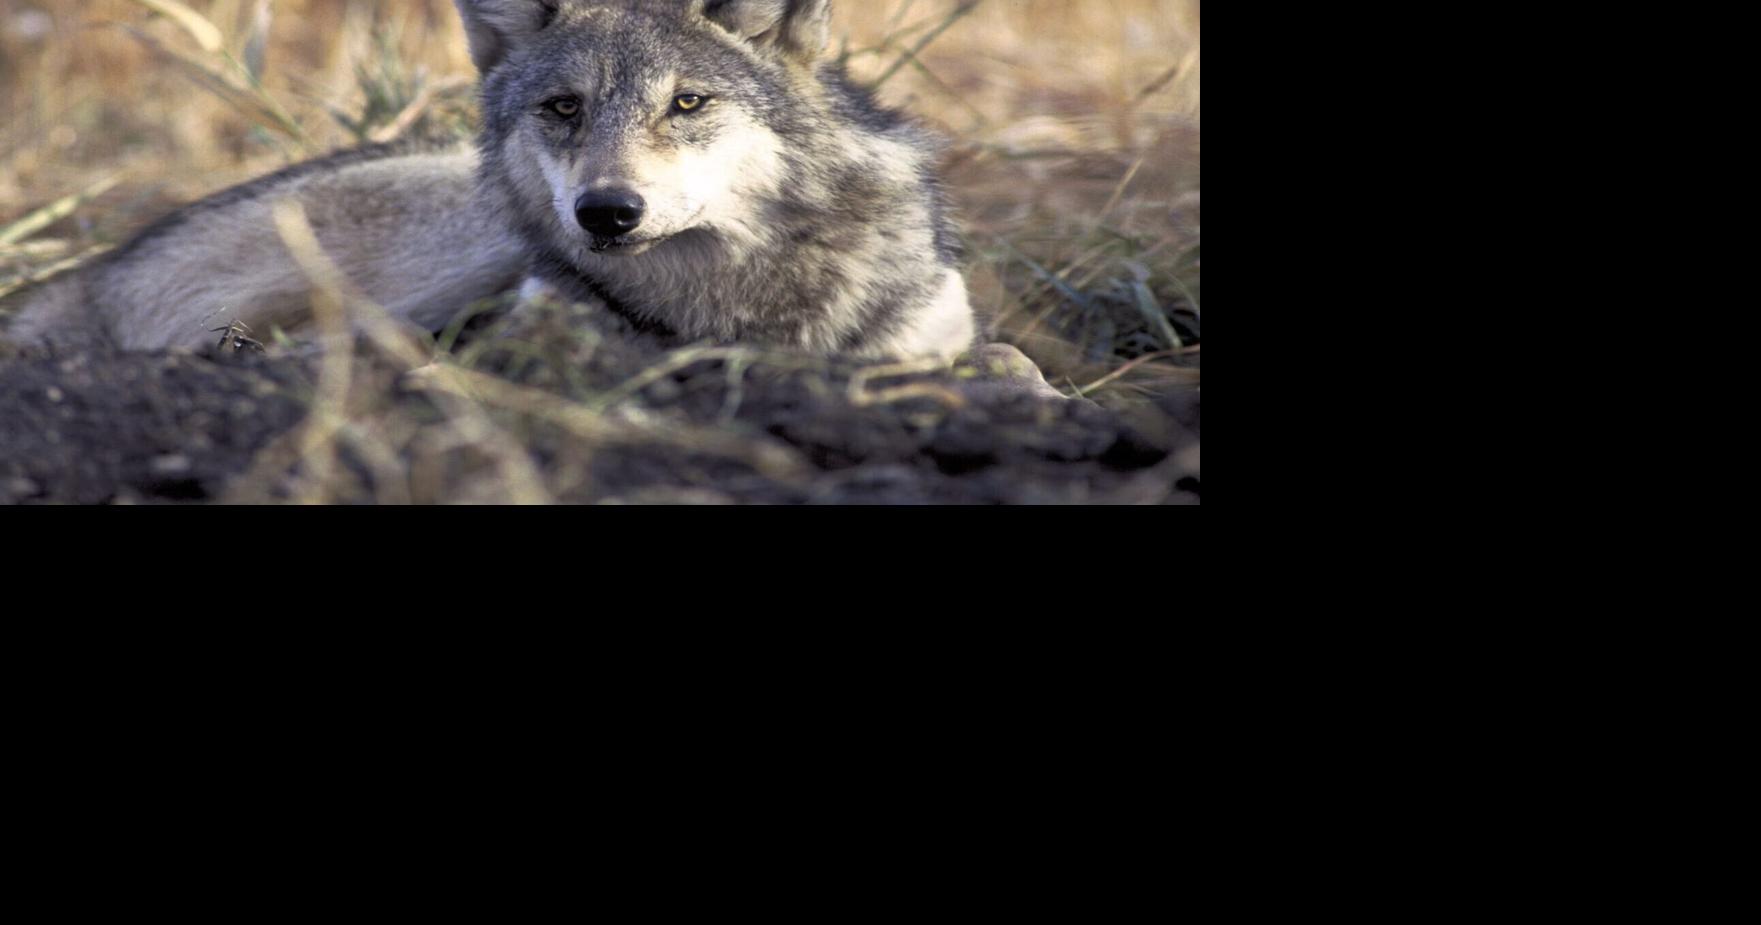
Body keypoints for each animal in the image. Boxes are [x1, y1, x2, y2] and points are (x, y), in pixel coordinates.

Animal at [4, 0, 978, 360]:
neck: (731, 302)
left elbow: (986, 356)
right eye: (562, 107)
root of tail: (90, 275)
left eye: (687, 102)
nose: (606, 212)